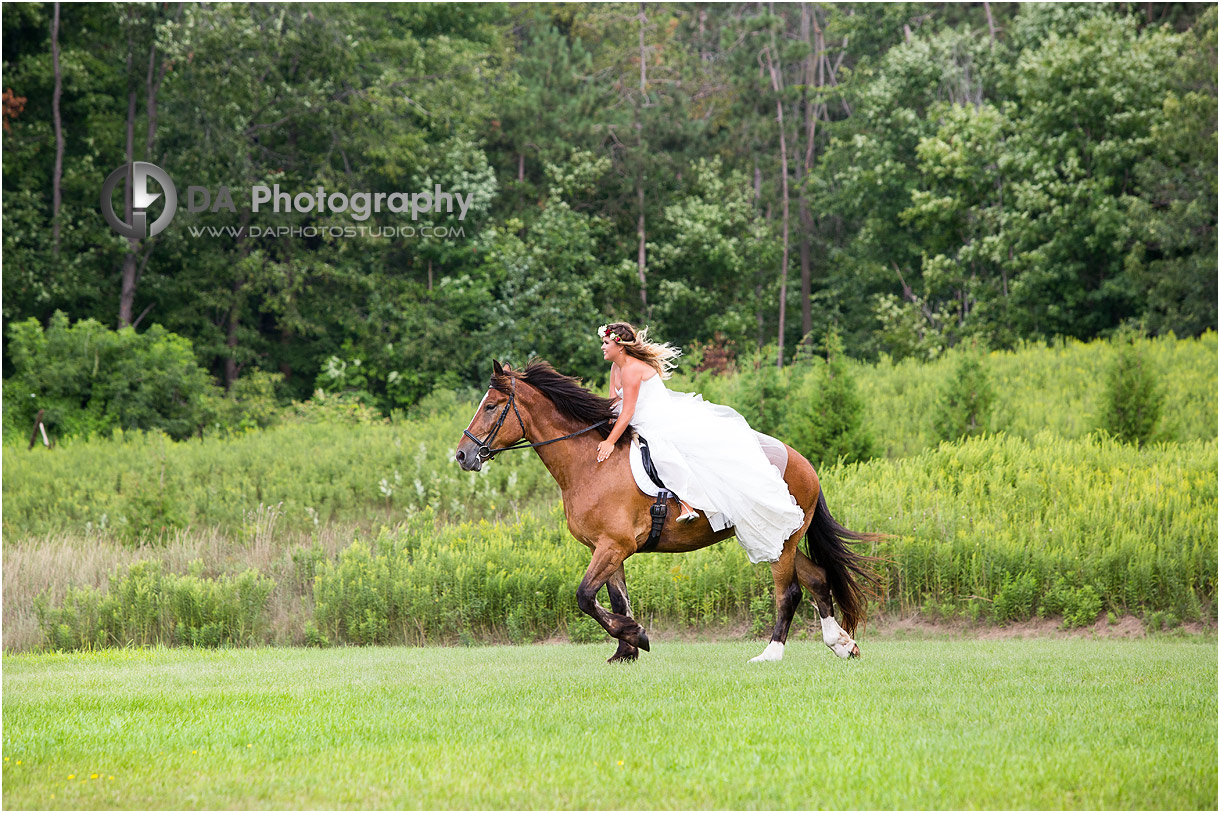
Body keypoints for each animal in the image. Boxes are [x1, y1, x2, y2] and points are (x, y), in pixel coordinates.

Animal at [456, 358, 878, 664]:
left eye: (491, 406)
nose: (462, 455)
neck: (591, 462)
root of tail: (803, 461)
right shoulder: (608, 549)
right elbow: (615, 599)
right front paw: (625, 650)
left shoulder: (614, 546)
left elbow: (584, 597)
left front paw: (636, 636)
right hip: (775, 537)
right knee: (818, 578)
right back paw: (842, 644)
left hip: (778, 539)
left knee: (789, 591)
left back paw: (771, 654)